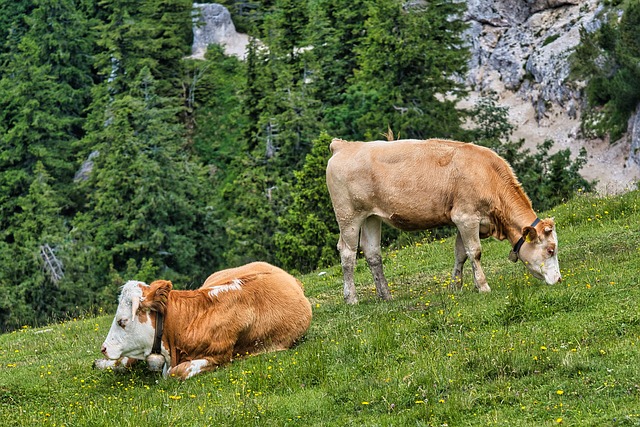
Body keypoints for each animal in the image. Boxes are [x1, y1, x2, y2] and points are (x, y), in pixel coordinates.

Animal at [328, 138, 564, 304]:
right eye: (550, 250)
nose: (560, 280)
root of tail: (344, 145)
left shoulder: (463, 221)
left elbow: (460, 253)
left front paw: (455, 287)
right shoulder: (466, 217)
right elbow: (475, 252)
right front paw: (483, 286)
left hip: (371, 217)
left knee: (372, 254)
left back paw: (385, 295)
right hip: (349, 215)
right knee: (347, 252)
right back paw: (351, 298)